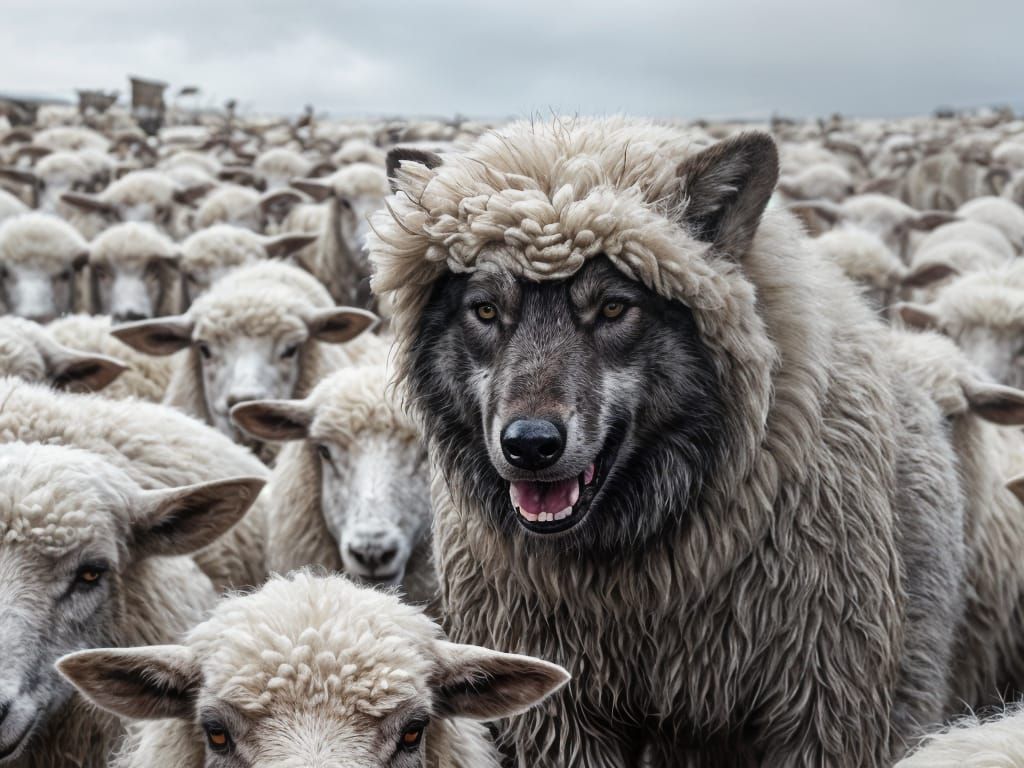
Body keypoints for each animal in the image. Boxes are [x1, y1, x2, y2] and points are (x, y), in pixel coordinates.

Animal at [371, 118, 973, 765]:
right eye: (484, 310)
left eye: (614, 307)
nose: (530, 445)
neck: (641, 591)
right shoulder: (558, 719)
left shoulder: (823, 707)